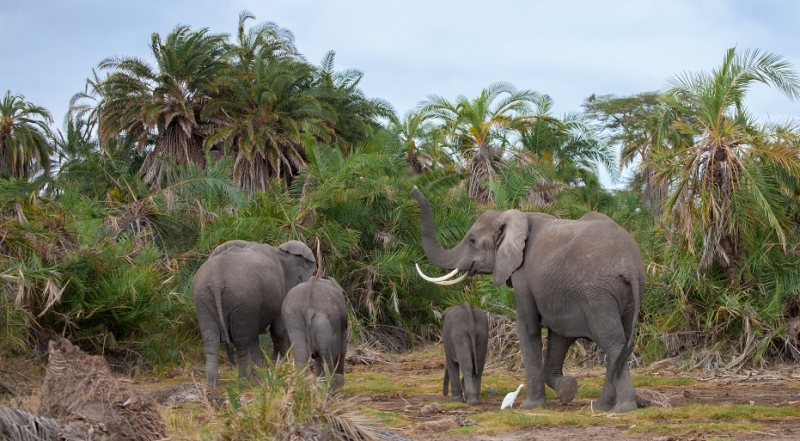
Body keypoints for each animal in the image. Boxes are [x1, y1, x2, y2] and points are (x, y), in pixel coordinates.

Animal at [193, 239, 316, 386]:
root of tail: (217, 280)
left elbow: (255, 337)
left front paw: (262, 376)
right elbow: (278, 329)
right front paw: (275, 369)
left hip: (203, 299)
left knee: (211, 340)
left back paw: (212, 386)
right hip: (242, 300)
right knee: (241, 342)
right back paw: (243, 382)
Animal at [412, 186, 644, 412]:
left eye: (472, 241)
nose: (414, 189)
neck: (513, 215)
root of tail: (631, 266)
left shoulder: (522, 276)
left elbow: (528, 327)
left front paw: (531, 406)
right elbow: (559, 336)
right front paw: (567, 389)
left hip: (598, 293)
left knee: (613, 342)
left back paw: (623, 408)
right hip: (626, 294)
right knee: (622, 342)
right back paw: (603, 406)